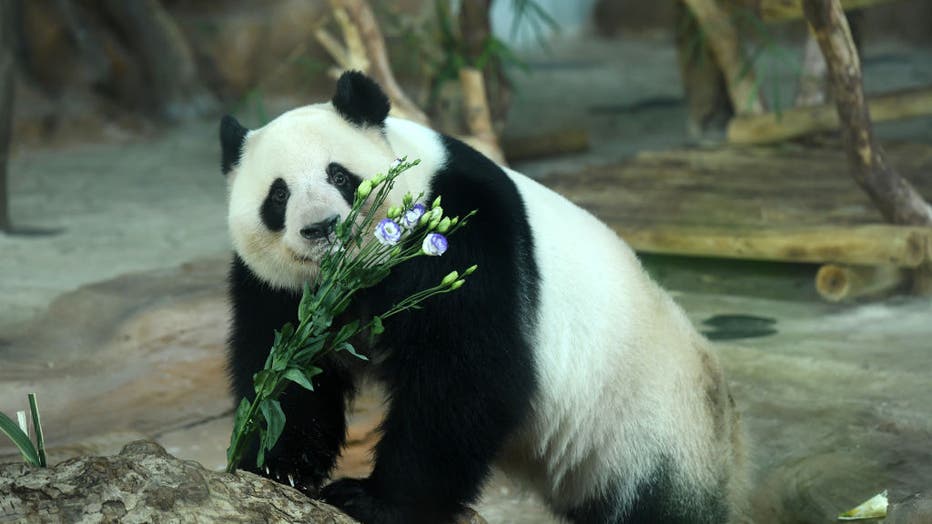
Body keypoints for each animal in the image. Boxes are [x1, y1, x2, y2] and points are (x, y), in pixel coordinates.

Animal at [222, 70, 748, 524]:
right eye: (278, 196)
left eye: (340, 177)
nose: (321, 227)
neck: (353, 278)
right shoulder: (280, 290)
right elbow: (286, 368)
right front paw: (277, 465)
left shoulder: (466, 233)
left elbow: (465, 374)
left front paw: (373, 501)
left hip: (653, 433)